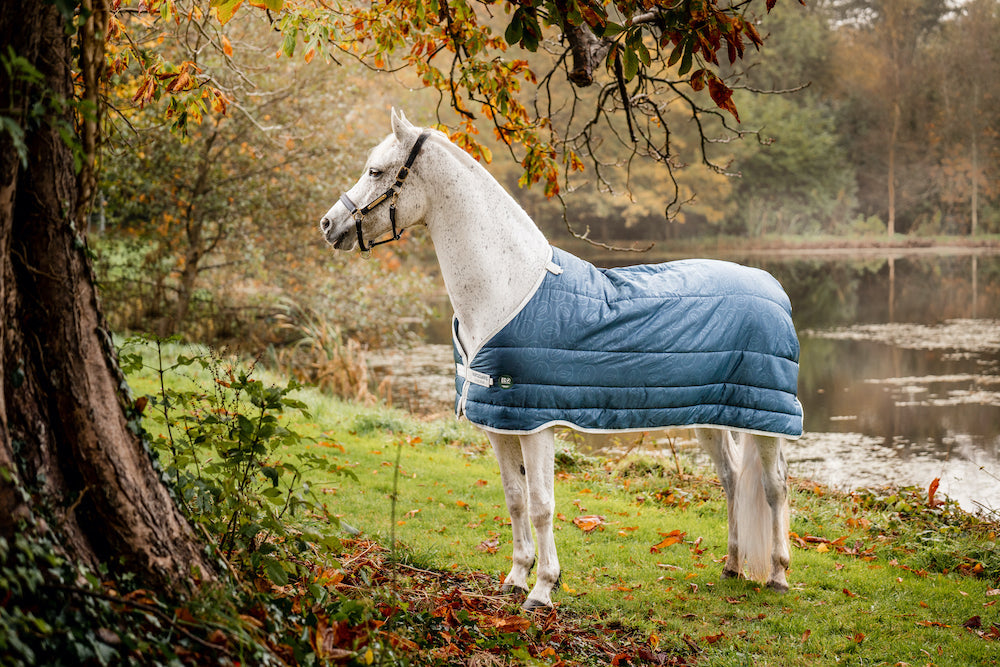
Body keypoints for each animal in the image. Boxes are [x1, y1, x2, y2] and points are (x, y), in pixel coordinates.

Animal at [320, 109, 801, 611]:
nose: (328, 224)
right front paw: (515, 577)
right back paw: (732, 565)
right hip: (714, 413)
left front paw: (543, 589)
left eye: (376, 171)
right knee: (731, 479)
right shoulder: (500, 424)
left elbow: (541, 505)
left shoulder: (537, 424)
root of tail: (773, 286)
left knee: (775, 486)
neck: (507, 289)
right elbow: (514, 498)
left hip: (767, 421)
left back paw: (778, 574)